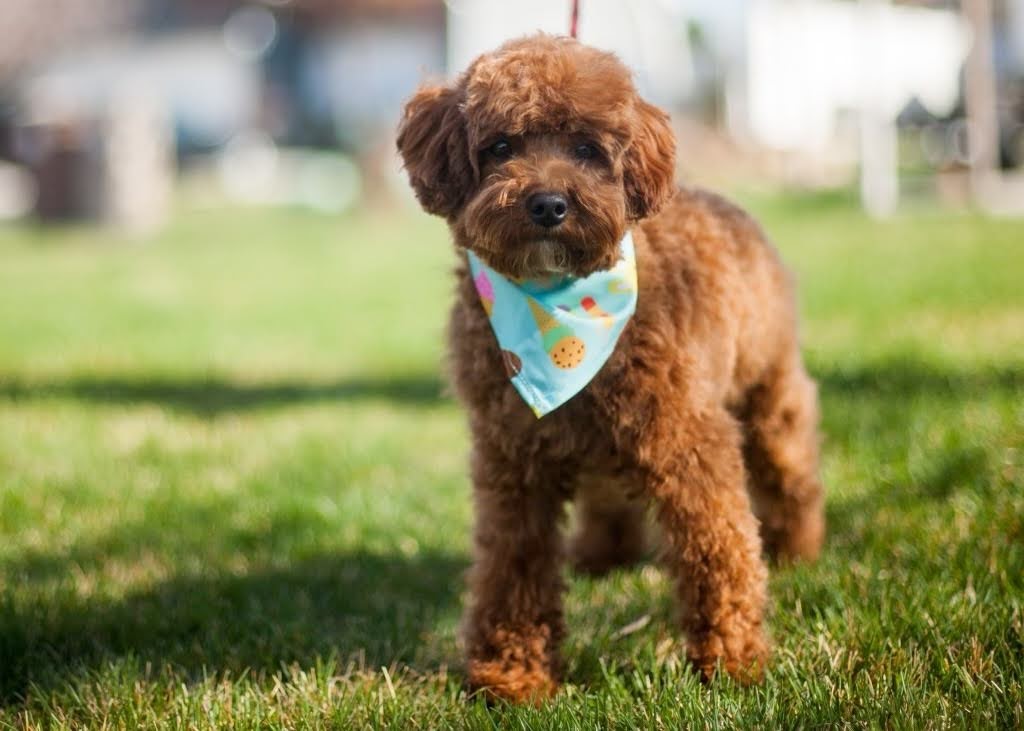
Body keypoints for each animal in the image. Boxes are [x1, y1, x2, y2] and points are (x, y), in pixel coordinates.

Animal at [395, 35, 827, 700]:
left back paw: (798, 547)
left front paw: (730, 663)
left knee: (789, 467)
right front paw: (512, 673)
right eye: (501, 147)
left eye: (586, 149)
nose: (550, 204)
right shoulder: (512, 460)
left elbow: (718, 547)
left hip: (767, 392)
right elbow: (512, 565)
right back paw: (605, 553)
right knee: (606, 493)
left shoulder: (687, 441)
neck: (558, 308)